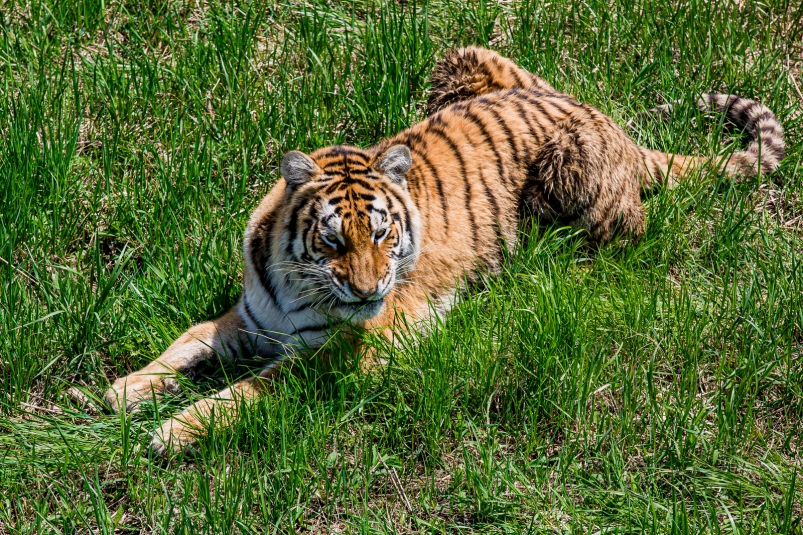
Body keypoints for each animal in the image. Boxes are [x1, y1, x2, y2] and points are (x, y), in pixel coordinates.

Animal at [100, 47, 784, 456]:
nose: (371, 291)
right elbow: (189, 340)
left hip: (572, 169)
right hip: (468, 60)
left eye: (380, 233)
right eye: (332, 239)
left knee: (619, 236)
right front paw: (124, 391)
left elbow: (250, 389)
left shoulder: (345, 351)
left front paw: (172, 430)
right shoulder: (250, 318)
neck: (296, 287)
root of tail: (609, 119)